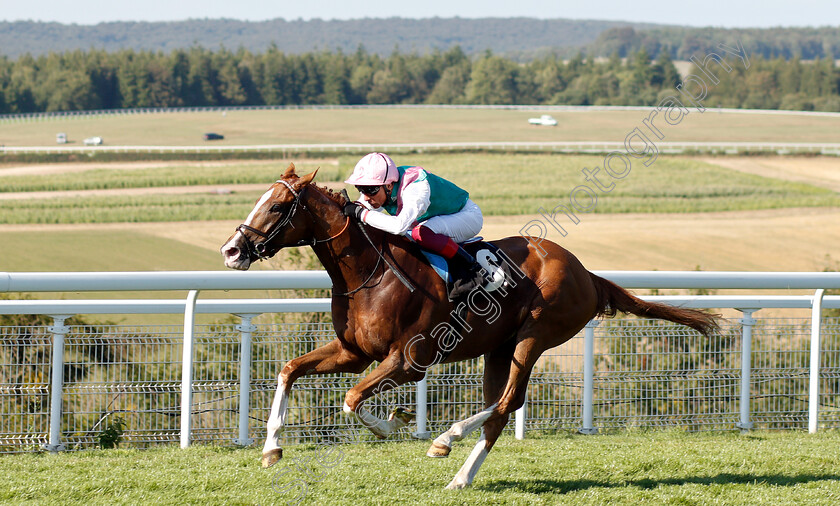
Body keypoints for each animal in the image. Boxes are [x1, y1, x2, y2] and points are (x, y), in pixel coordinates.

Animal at [220, 164, 720, 488]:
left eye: (279, 206)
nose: (231, 250)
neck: (368, 272)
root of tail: (586, 274)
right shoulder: (354, 352)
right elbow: (289, 371)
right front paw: (271, 449)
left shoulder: (409, 360)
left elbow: (352, 399)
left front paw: (395, 422)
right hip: (499, 348)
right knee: (500, 410)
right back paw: (460, 476)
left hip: (534, 336)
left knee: (507, 400)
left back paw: (447, 438)